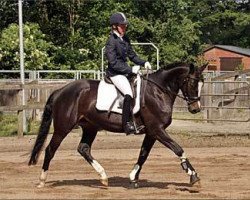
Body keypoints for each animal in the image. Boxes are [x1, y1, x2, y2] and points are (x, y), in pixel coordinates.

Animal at [28, 61, 207, 188]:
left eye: (202, 84)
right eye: (192, 83)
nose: (195, 109)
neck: (158, 91)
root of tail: (61, 91)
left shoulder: (151, 132)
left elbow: (143, 155)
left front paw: (133, 178)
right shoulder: (157, 130)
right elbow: (178, 149)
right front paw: (193, 175)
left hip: (90, 127)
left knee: (83, 149)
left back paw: (103, 177)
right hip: (63, 128)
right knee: (50, 150)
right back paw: (42, 180)